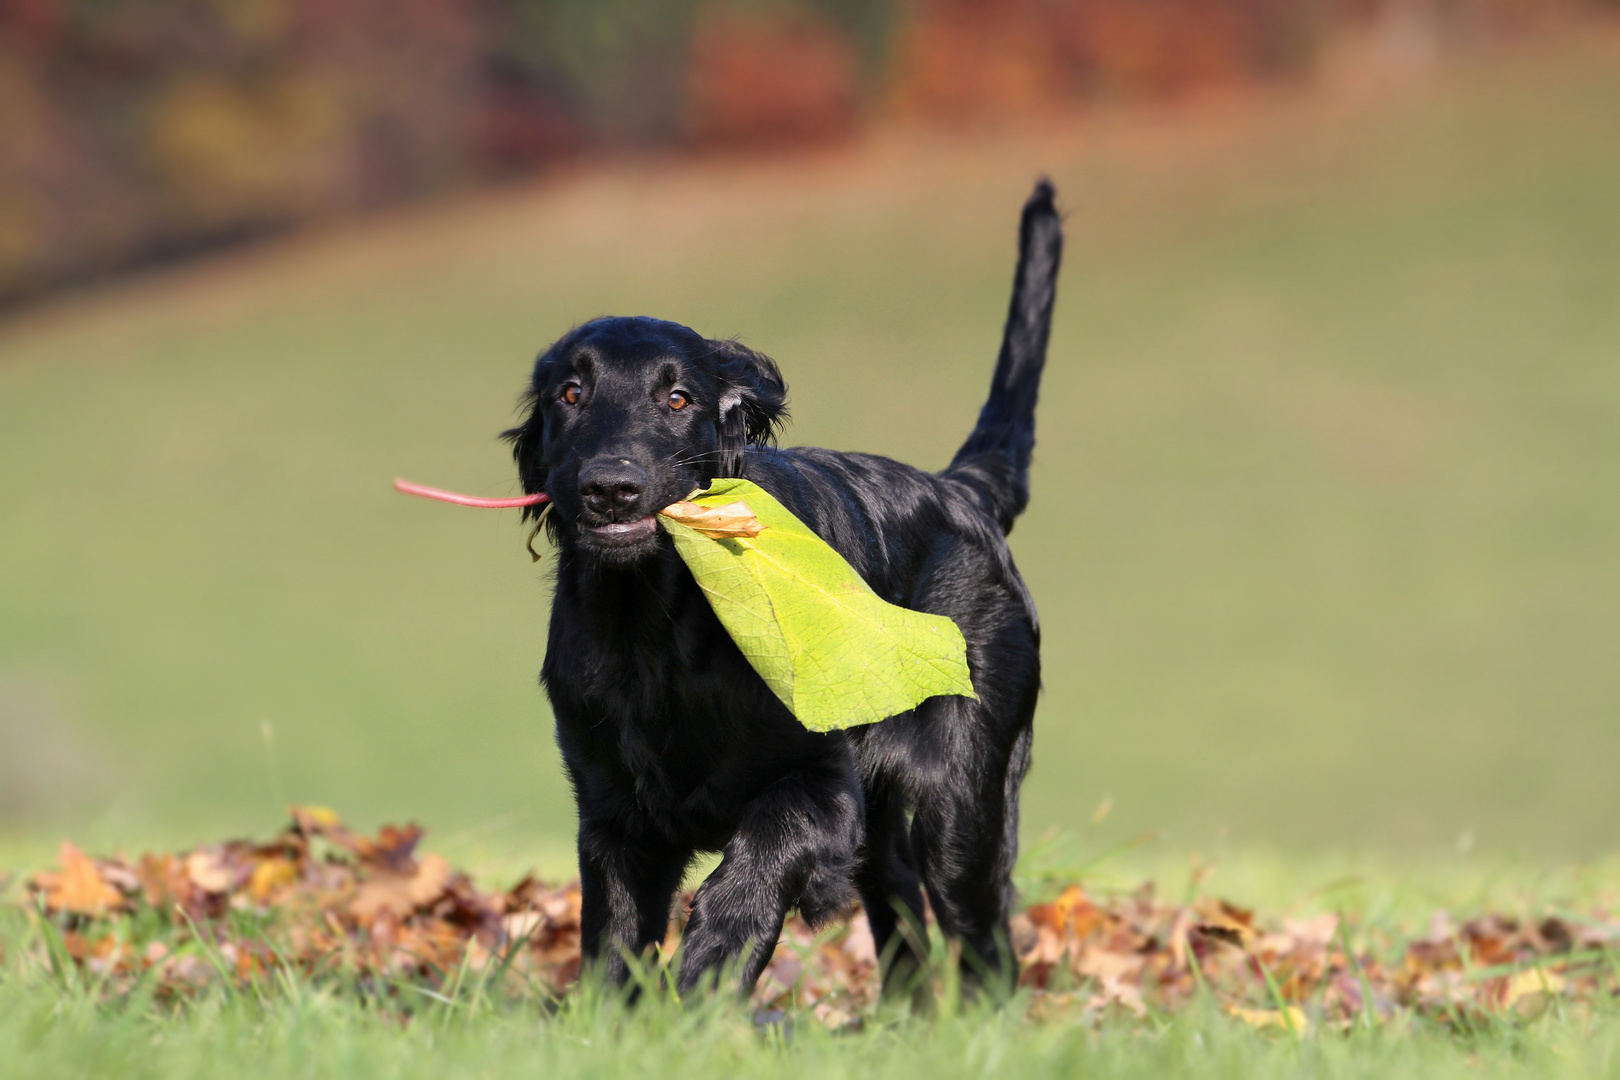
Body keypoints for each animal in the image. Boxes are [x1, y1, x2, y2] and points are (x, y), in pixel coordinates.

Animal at [505, 181, 1062, 1003]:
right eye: (570, 393)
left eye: (678, 398)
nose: (611, 486)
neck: (658, 627)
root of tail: (962, 490)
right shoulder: (612, 811)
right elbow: (613, 942)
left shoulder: (819, 783)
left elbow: (755, 870)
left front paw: (702, 985)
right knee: (901, 905)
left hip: (964, 797)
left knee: (981, 934)